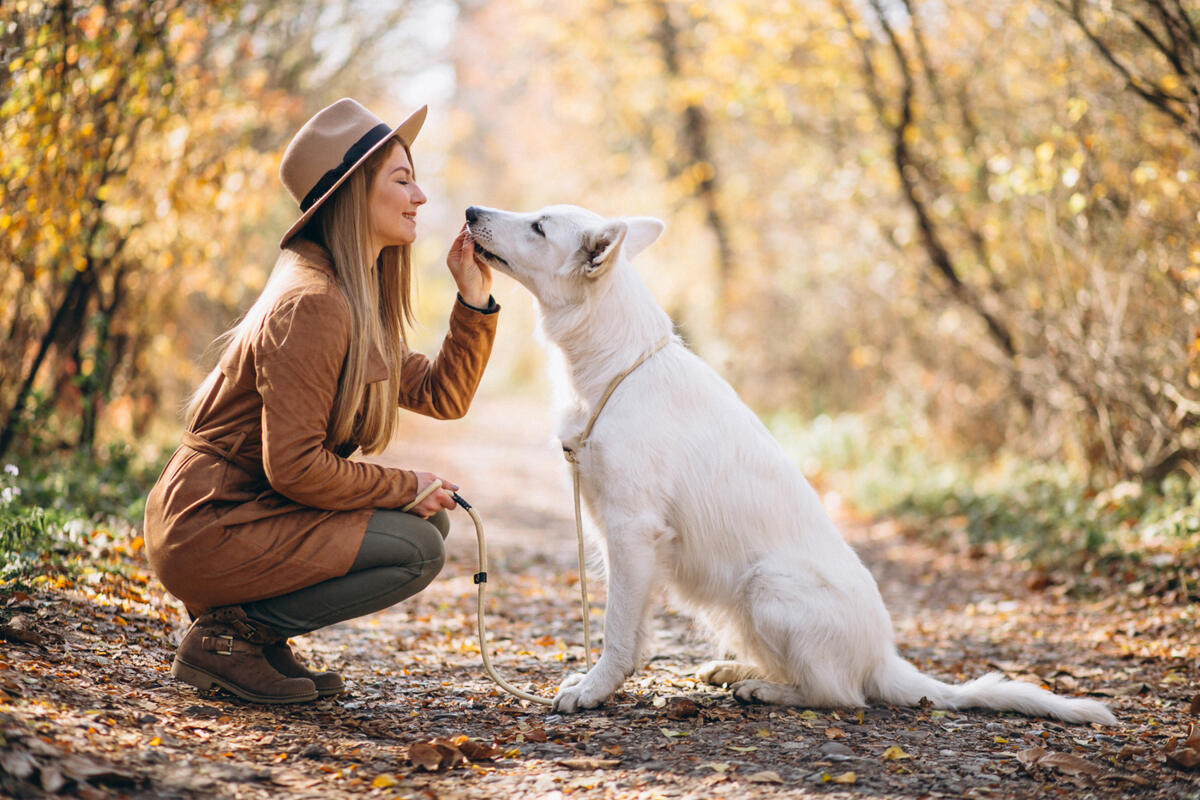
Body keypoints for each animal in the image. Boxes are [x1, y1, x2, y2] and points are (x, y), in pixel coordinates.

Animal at [465, 201, 1113, 724]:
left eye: (539, 226)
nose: (470, 211)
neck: (615, 365)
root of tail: (886, 659)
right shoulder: (617, 535)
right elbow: (632, 629)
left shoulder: (631, 532)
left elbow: (617, 631)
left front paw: (594, 689)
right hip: (738, 608)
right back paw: (740, 673)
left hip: (768, 585)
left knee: (841, 695)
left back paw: (768, 692)